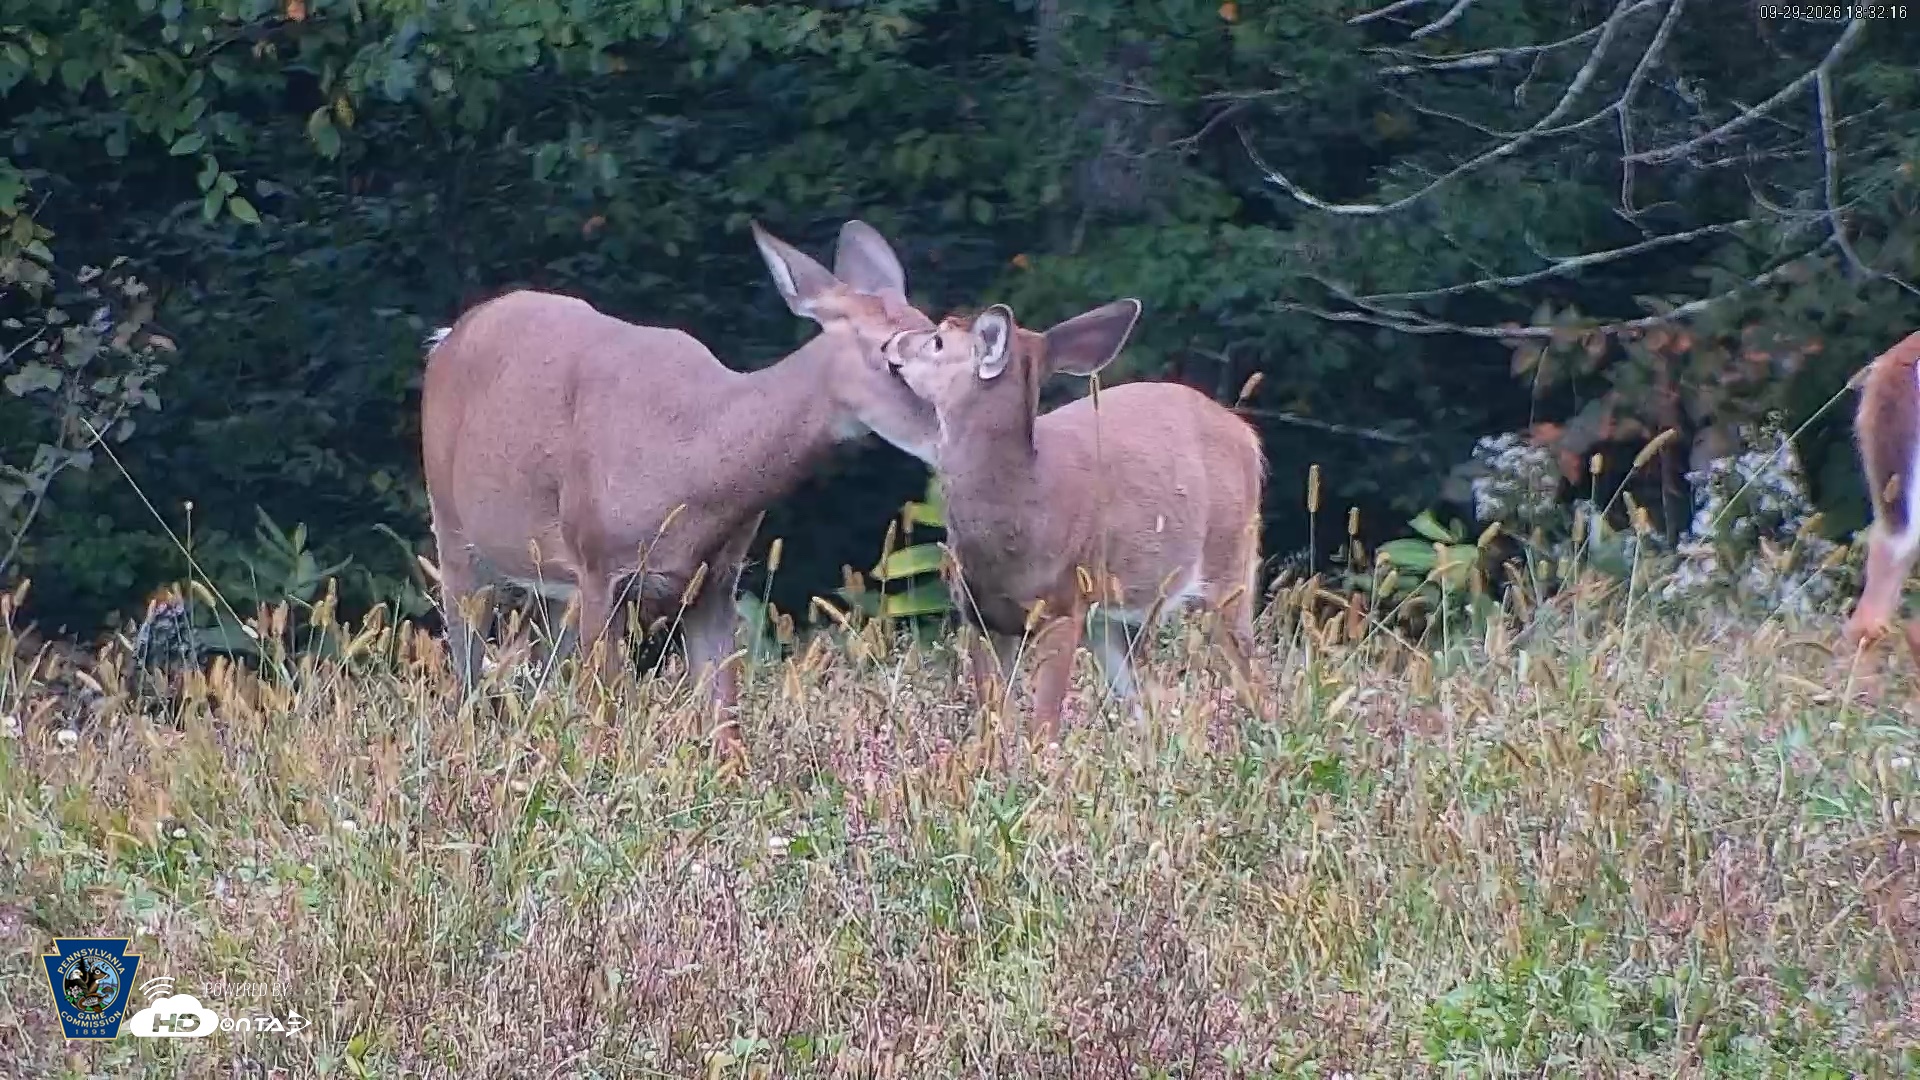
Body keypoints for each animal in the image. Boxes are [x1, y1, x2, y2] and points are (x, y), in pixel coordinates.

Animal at [419, 220, 943, 761]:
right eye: (891, 357)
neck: (691, 465)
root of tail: (446, 337)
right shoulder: (597, 562)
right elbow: (603, 715)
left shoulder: (716, 576)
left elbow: (726, 724)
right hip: (454, 529)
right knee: (467, 668)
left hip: (547, 577)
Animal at [879, 300, 1270, 745]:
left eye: (939, 341)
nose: (890, 343)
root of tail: (1247, 435)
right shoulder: (979, 615)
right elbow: (992, 721)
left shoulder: (1063, 603)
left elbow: (1044, 724)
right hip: (1112, 620)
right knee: (1150, 704)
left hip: (1228, 568)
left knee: (1252, 678)